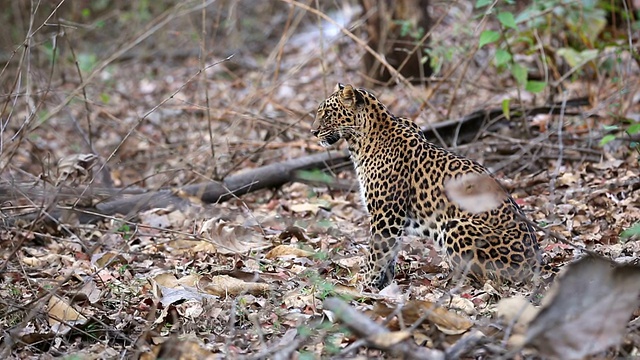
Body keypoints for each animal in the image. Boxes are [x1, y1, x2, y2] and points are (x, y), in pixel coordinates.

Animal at [312, 83, 544, 288]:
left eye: (327, 114)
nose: (313, 132)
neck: (361, 141)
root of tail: (535, 265)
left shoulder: (386, 215)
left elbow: (376, 255)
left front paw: (365, 287)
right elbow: (390, 254)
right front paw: (384, 285)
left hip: (456, 226)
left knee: (487, 277)